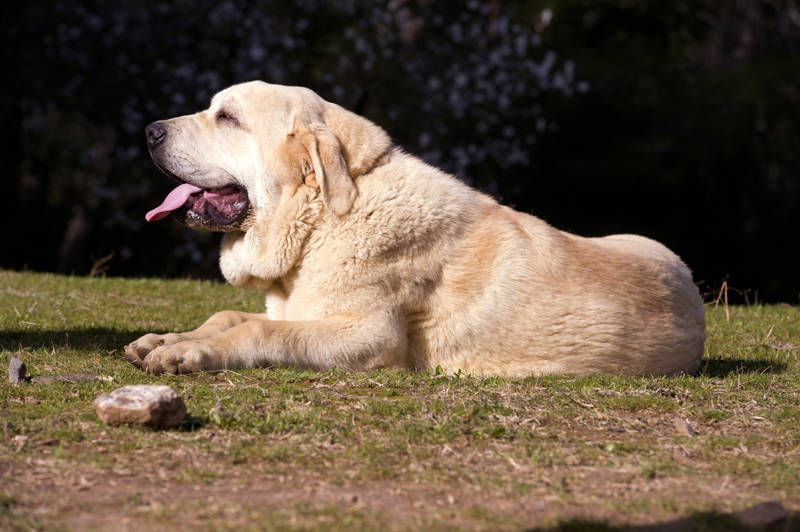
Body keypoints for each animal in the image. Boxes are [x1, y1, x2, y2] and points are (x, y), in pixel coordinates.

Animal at [122, 81, 704, 376]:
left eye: (227, 118)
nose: (148, 130)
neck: (322, 220)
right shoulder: (297, 308)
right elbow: (227, 316)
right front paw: (165, 338)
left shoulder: (367, 337)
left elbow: (258, 331)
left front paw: (185, 353)